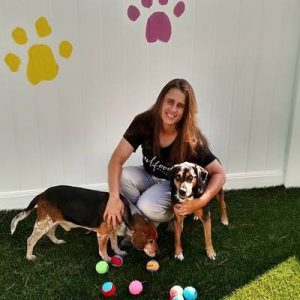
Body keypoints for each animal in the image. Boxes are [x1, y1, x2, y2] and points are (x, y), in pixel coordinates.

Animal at [10, 186, 158, 262]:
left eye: (156, 239)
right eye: (150, 241)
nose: (157, 253)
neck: (127, 213)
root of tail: (42, 194)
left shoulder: (113, 231)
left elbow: (115, 244)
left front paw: (119, 252)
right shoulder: (102, 234)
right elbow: (103, 250)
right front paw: (107, 259)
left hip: (54, 221)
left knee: (50, 233)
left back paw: (57, 241)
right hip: (44, 222)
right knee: (30, 240)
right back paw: (29, 256)